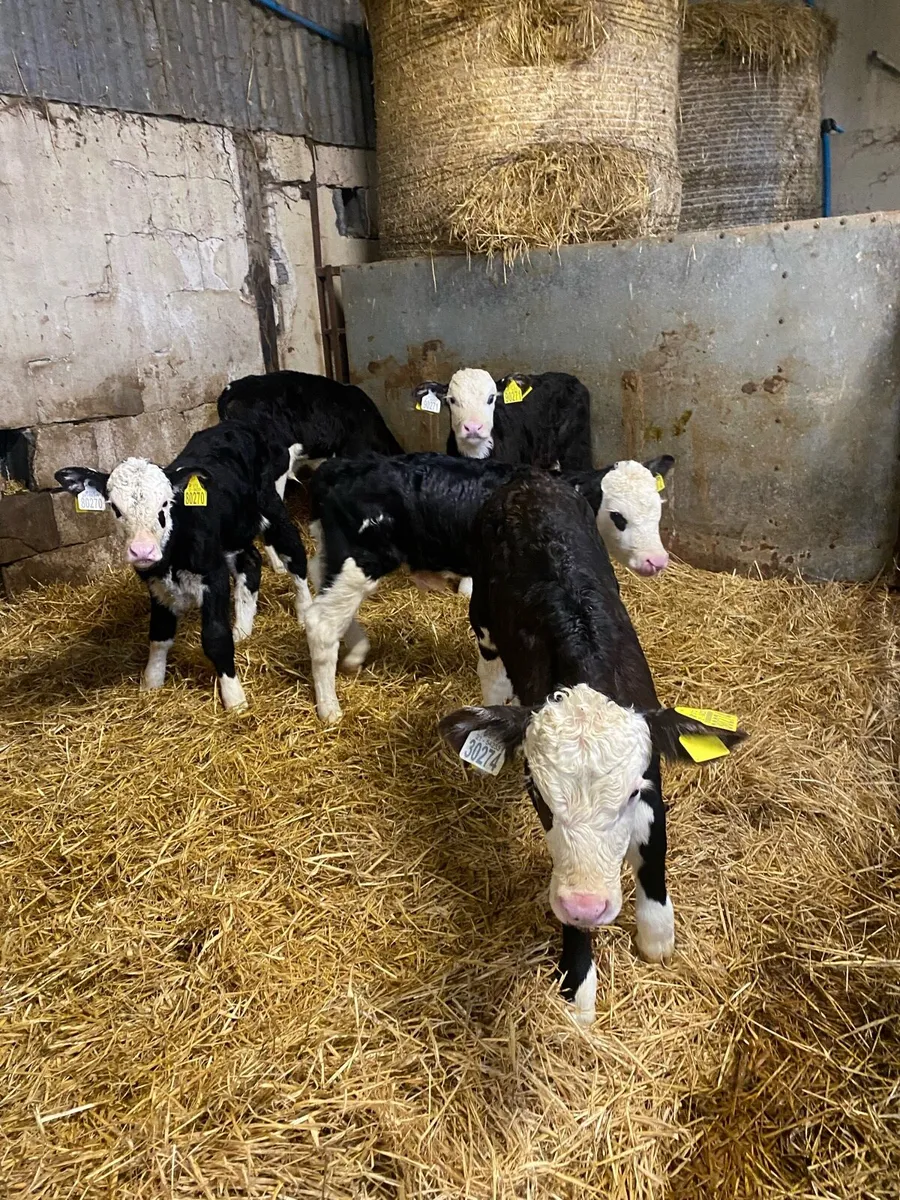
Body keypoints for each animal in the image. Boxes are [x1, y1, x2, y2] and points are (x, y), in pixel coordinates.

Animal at [55, 422, 310, 710]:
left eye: (165, 504)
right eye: (116, 509)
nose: (142, 550)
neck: (171, 559)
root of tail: (236, 425)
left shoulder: (213, 575)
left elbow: (215, 637)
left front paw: (234, 698)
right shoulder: (156, 585)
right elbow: (159, 634)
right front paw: (151, 682)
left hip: (272, 505)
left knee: (295, 556)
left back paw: (304, 612)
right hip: (233, 534)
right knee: (251, 562)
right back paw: (243, 630)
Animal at [304, 451, 674, 723]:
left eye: (658, 510)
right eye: (618, 516)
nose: (656, 560)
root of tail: (339, 468)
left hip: (334, 556)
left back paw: (355, 652)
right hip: (361, 559)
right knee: (321, 623)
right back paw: (330, 708)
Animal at [438, 470, 746, 1024]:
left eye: (630, 794)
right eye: (539, 799)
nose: (588, 905)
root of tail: (528, 478)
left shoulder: (653, 781)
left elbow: (655, 855)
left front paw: (657, 938)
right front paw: (578, 986)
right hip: (483, 618)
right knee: (490, 669)